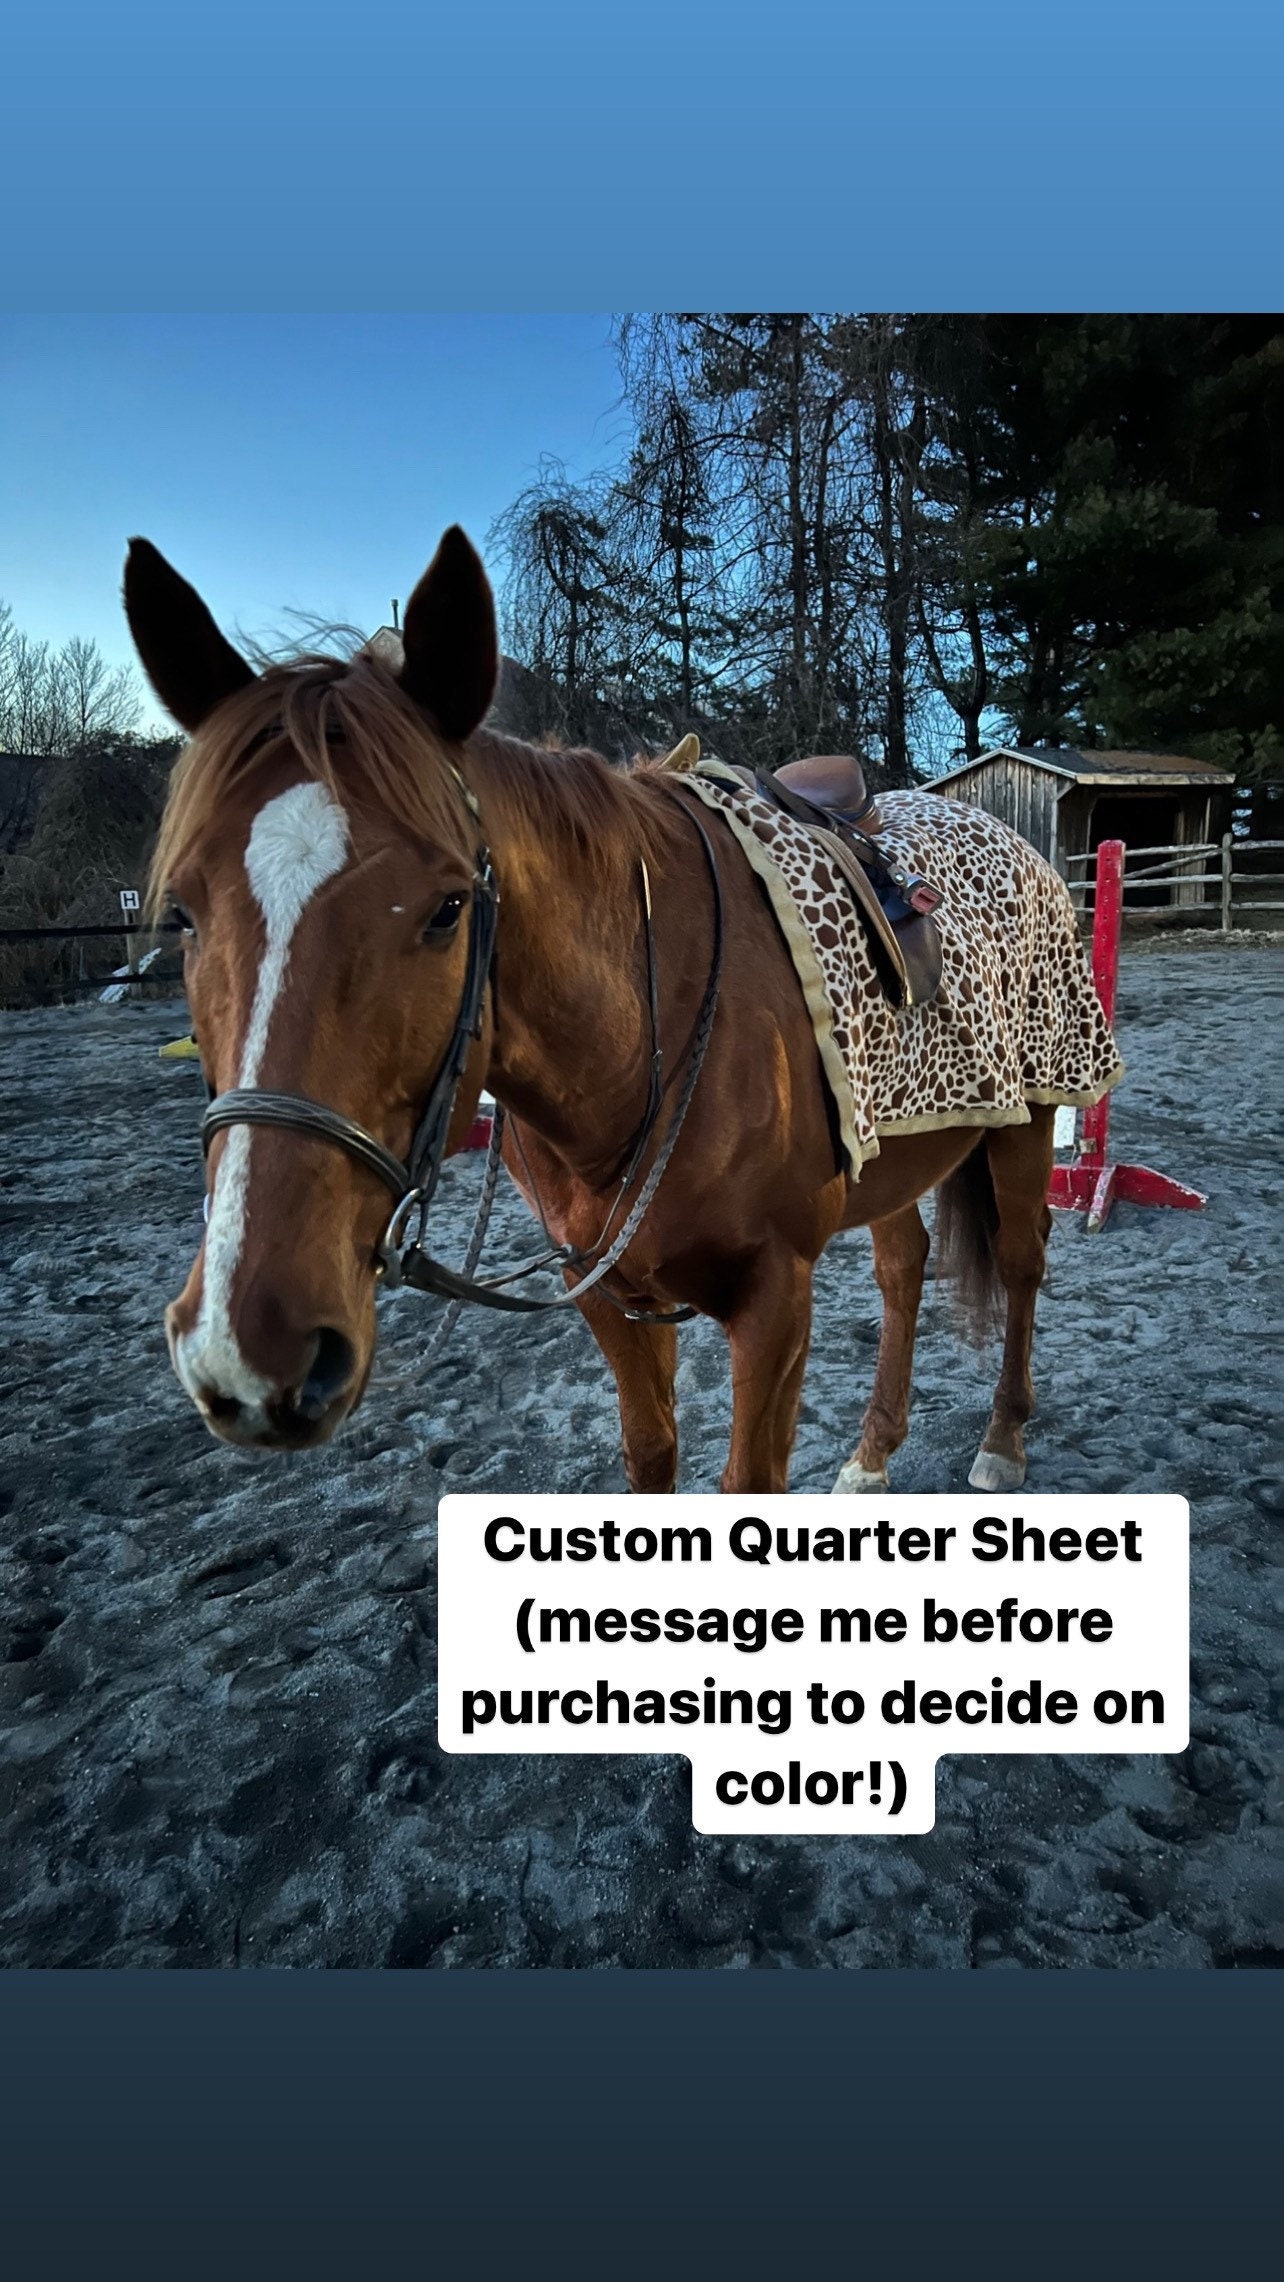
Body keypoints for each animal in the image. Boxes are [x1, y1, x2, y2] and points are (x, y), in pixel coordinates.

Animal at [125, 525, 1065, 1497]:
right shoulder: (609, 1294)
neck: (635, 1040)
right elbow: (650, 1454)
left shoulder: (775, 1298)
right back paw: (874, 1453)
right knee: (902, 1265)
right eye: (184, 912)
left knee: (1022, 1258)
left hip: (1033, 1109)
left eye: (448, 908)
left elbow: (748, 1483)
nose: (253, 1347)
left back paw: (1002, 1439)